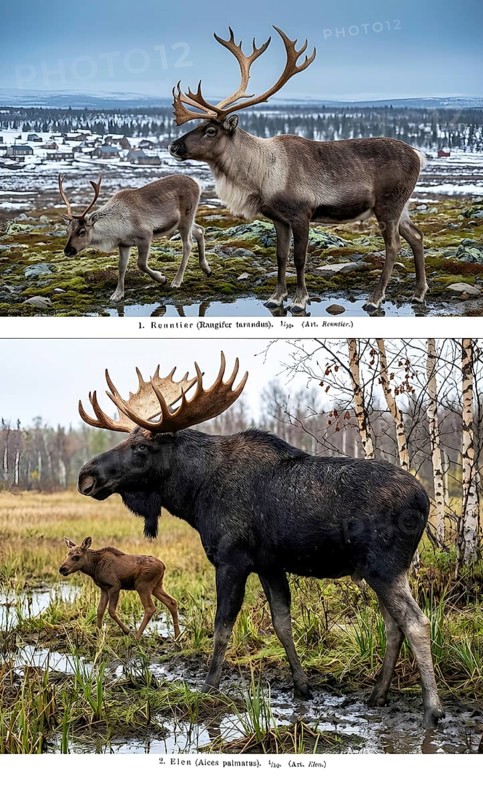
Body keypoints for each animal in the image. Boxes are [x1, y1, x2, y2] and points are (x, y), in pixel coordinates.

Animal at [58, 174, 211, 302]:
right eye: (67, 230)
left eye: (82, 231)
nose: (67, 251)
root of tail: (197, 183)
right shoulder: (124, 244)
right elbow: (121, 267)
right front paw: (117, 294)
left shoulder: (146, 236)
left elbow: (141, 264)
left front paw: (161, 278)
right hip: (182, 224)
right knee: (200, 231)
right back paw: (206, 269)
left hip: (186, 217)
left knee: (188, 245)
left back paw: (176, 281)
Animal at [77, 353, 444, 728]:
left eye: (141, 447)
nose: (86, 476)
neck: (194, 495)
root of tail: (424, 500)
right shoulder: (270, 565)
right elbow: (282, 625)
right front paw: (302, 686)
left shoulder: (231, 559)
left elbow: (222, 626)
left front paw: (208, 685)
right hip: (377, 569)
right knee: (393, 625)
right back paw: (378, 695)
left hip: (385, 565)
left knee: (416, 622)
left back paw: (432, 709)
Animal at [169, 27, 428, 315]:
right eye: (198, 126)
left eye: (211, 130)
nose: (174, 146)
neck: (260, 175)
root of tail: (418, 155)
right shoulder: (279, 218)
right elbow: (281, 257)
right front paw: (276, 297)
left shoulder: (302, 214)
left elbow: (300, 257)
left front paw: (299, 300)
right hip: (401, 207)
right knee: (417, 237)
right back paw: (418, 294)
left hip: (388, 205)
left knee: (394, 246)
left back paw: (375, 298)